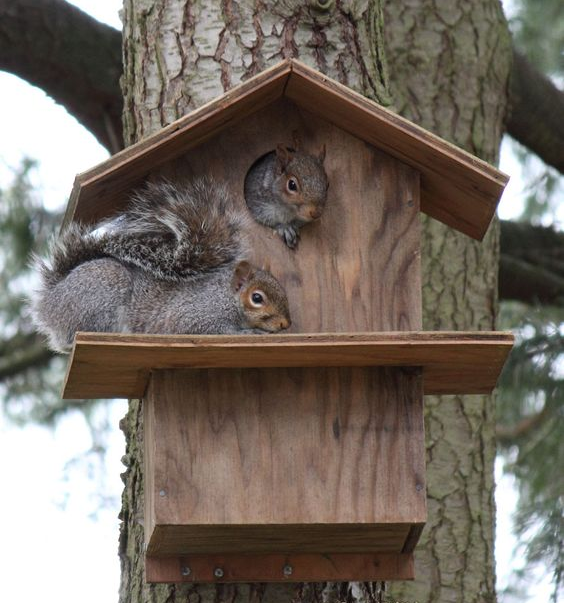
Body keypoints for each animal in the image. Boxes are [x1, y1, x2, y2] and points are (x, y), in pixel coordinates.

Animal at [32, 177, 290, 352]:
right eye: (257, 298)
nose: (285, 323)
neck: (225, 297)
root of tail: (50, 302)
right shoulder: (195, 317)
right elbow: (212, 330)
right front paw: (251, 331)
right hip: (101, 294)